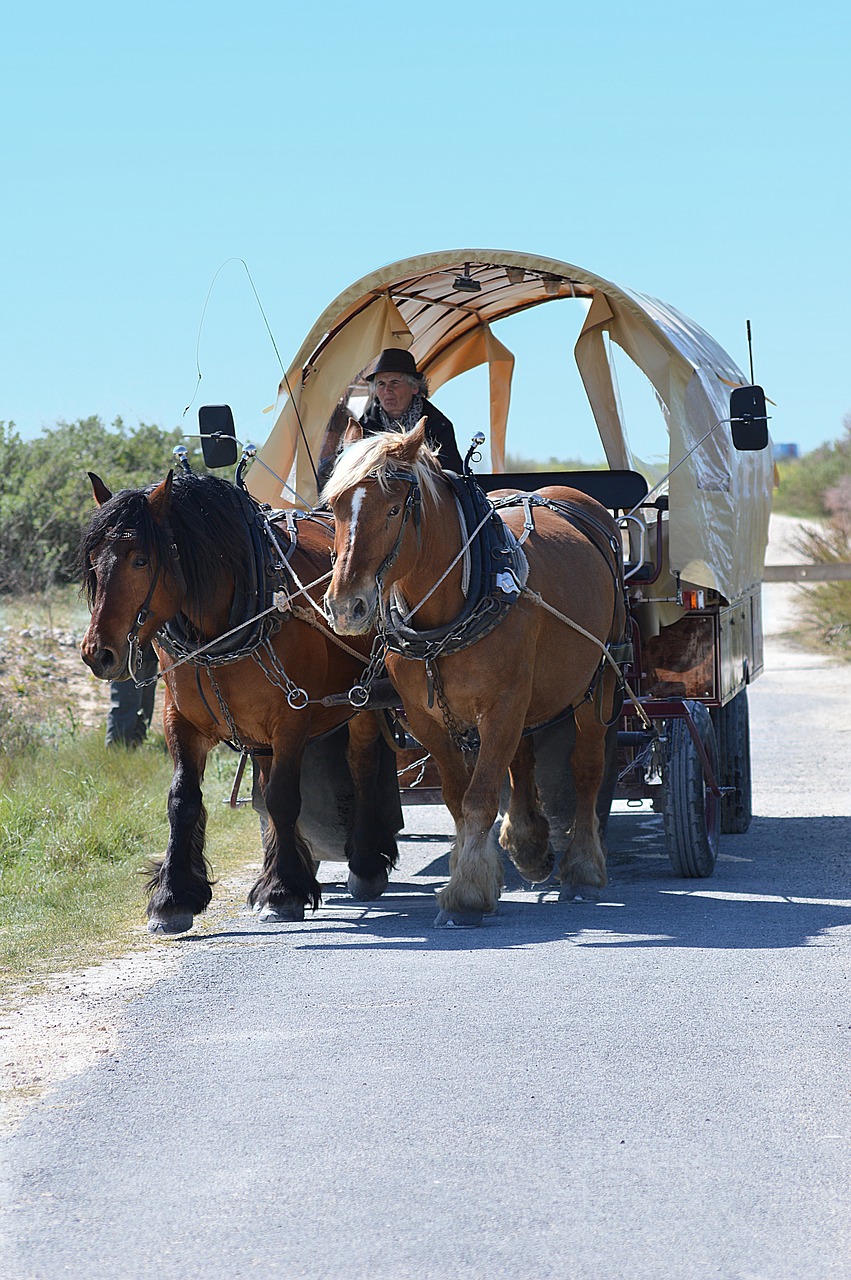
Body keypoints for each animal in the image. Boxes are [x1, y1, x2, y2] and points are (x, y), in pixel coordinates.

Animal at [78, 471, 399, 931]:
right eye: (93, 561)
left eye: (140, 560)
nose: (97, 654)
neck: (222, 630)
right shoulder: (181, 722)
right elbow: (183, 800)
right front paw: (173, 897)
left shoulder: (291, 720)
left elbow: (284, 797)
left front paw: (283, 892)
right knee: (265, 787)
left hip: (363, 702)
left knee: (362, 767)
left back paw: (365, 864)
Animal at [319, 424, 624, 926]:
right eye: (335, 509)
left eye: (393, 508)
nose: (346, 606)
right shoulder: (426, 718)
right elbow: (457, 797)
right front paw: (474, 873)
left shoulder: (503, 705)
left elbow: (479, 798)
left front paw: (467, 894)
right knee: (521, 759)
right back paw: (527, 843)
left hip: (599, 682)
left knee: (586, 768)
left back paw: (582, 867)